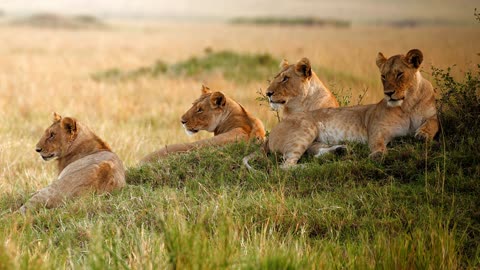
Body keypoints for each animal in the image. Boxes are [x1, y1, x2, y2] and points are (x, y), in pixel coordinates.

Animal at [248, 48, 438, 169]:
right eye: (383, 76)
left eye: (285, 78)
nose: (268, 93)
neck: (407, 104)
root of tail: (270, 135)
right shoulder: (376, 130)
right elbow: (377, 143)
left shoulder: (431, 115)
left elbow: (432, 123)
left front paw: (423, 135)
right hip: (305, 131)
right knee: (286, 166)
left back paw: (340, 151)